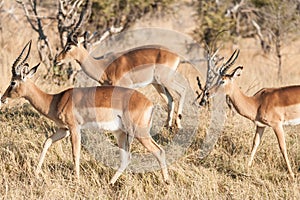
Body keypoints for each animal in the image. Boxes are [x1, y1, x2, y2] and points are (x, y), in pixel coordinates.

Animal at [1, 40, 169, 184]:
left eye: (13, 82)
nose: (2, 98)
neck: (55, 100)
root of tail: (149, 103)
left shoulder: (74, 128)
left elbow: (75, 153)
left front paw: (77, 180)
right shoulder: (64, 129)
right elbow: (47, 142)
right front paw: (36, 173)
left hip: (139, 133)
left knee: (158, 151)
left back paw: (166, 182)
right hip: (121, 133)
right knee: (126, 158)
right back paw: (110, 183)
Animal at [198, 49, 298, 179]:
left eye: (222, 80)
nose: (207, 93)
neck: (257, 102)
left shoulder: (277, 125)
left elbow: (282, 147)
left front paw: (291, 174)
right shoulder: (260, 125)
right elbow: (255, 143)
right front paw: (247, 167)